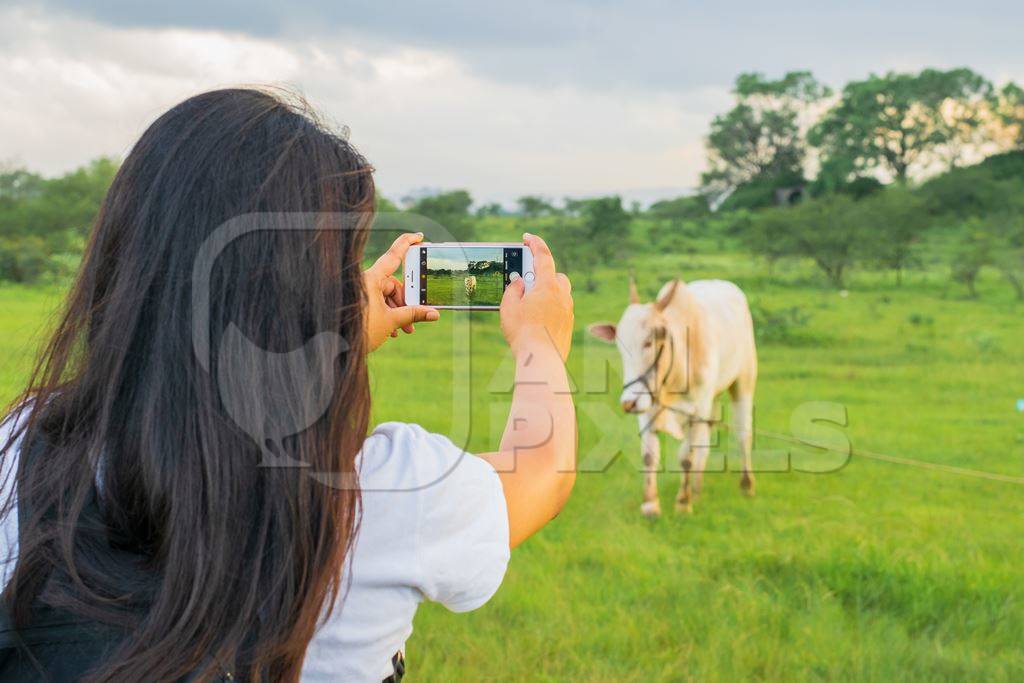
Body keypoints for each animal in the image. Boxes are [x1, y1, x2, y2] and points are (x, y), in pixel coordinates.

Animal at [589, 274, 757, 516]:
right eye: (620, 347)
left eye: (648, 342)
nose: (628, 403)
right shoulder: (647, 407)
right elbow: (649, 456)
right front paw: (650, 505)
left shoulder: (696, 409)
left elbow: (686, 456)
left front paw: (683, 503)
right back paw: (697, 487)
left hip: (743, 382)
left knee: (743, 433)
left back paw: (746, 485)